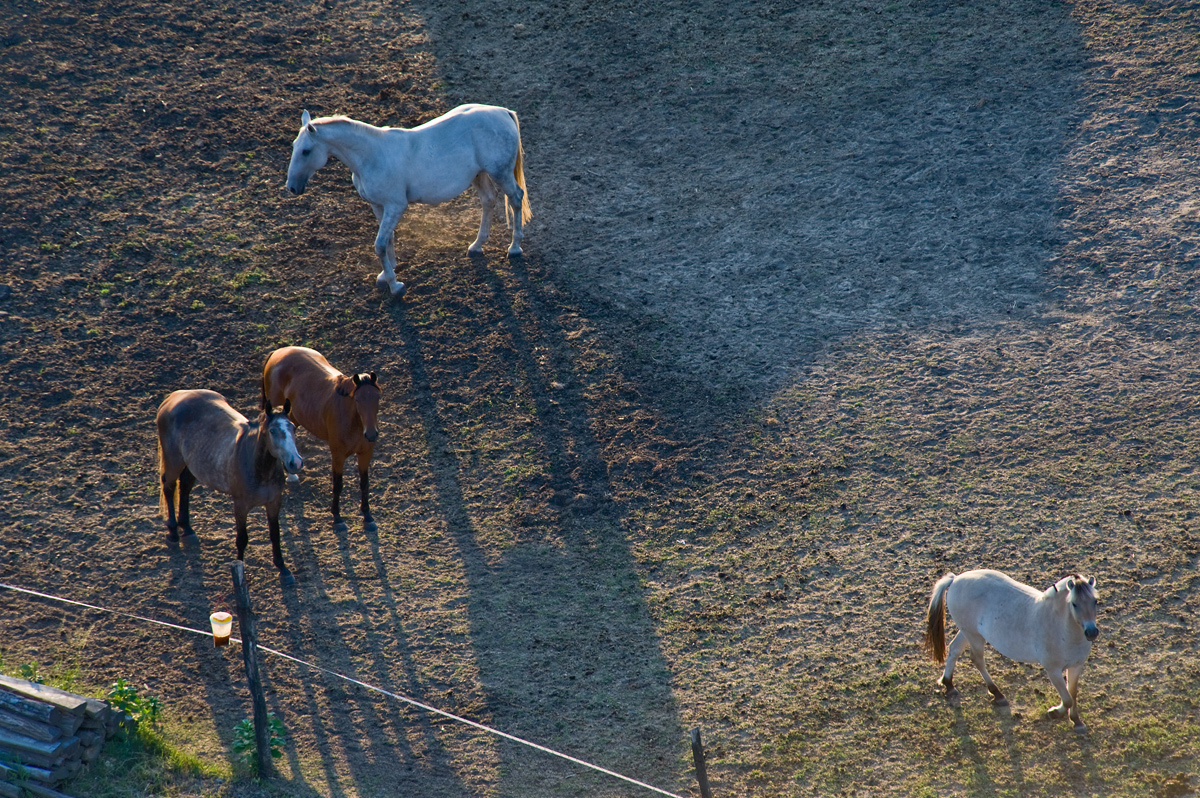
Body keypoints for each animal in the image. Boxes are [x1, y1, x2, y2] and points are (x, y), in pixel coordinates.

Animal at [156, 388, 302, 583]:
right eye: (272, 430)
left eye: (292, 428)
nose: (295, 463)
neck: (259, 468)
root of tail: (174, 397)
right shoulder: (240, 506)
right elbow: (242, 539)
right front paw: (240, 571)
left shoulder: (274, 503)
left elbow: (275, 535)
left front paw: (283, 569)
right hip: (174, 460)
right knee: (169, 487)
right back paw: (172, 533)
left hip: (192, 465)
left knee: (185, 487)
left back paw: (187, 530)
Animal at [261, 345, 379, 532]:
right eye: (358, 400)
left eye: (377, 398)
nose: (371, 434)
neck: (353, 421)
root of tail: (278, 351)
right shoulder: (338, 455)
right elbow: (338, 484)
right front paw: (337, 519)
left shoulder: (365, 453)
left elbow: (364, 483)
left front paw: (367, 517)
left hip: (293, 415)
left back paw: (292, 474)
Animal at [285, 102, 530, 295]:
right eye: (294, 147)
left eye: (306, 151)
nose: (292, 188)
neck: (371, 156)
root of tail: (503, 112)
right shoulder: (378, 205)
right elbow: (388, 240)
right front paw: (387, 273)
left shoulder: (396, 206)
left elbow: (380, 244)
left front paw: (395, 286)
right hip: (479, 175)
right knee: (488, 200)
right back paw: (477, 245)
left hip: (501, 173)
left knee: (516, 198)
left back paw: (514, 248)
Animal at [921, 568, 1099, 729]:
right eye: (1074, 604)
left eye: (1095, 601)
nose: (1091, 632)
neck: (1060, 626)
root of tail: (955, 579)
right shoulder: (1053, 670)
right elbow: (1067, 699)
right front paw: (1055, 712)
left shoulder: (1076, 666)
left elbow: (1073, 694)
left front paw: (1076, 721)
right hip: (974, 635)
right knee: (977, 659)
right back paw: (997, 694)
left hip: (968, 632)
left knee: (954, 650)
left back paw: (949, 684)